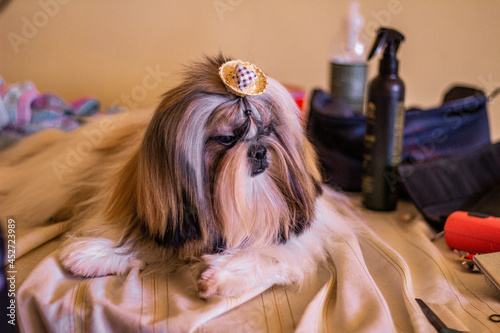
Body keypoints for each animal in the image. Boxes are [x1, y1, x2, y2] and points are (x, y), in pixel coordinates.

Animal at [0, 55, 340, 298]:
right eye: (227, 139)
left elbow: (271, 253)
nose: (259, 151)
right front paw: (95, 253)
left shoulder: (300, 238)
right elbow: (137, 236)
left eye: (268, 130)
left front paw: (224, 275)